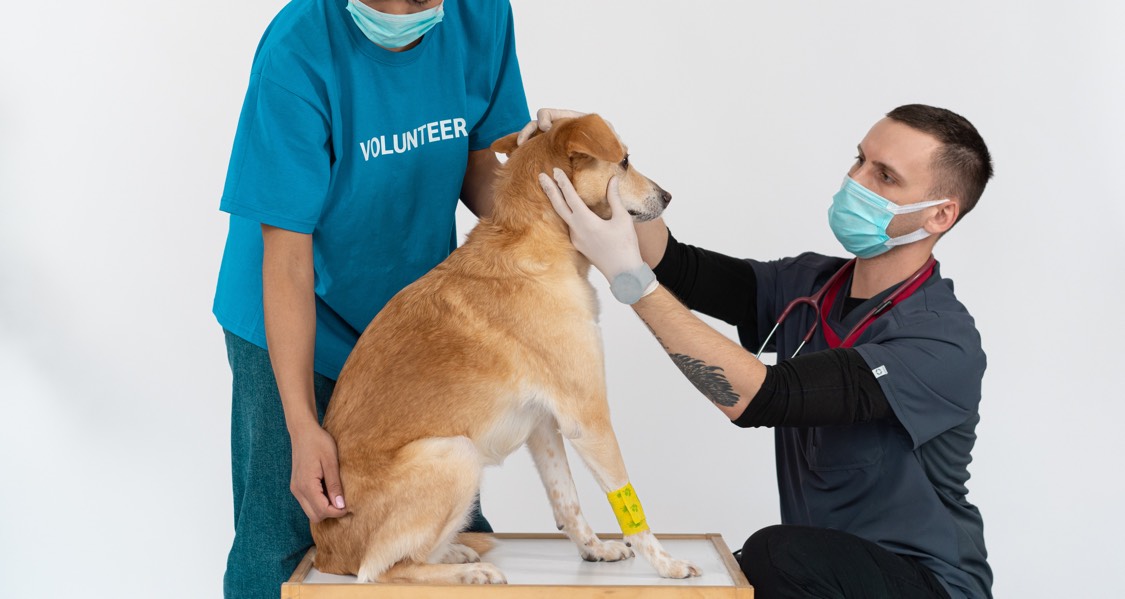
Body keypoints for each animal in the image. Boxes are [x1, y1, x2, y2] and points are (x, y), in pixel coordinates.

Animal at [308, 114, 693, 580]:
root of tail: (325, 553)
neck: (538, 241)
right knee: (379, 571)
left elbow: (567, 500)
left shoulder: (545, 424)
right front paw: (666, 564)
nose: (668, 196)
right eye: (624, 161)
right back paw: (467, 574)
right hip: (456, 453)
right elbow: (627, 500)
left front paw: (594, 549)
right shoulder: (588, 417)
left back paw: (454, 553)